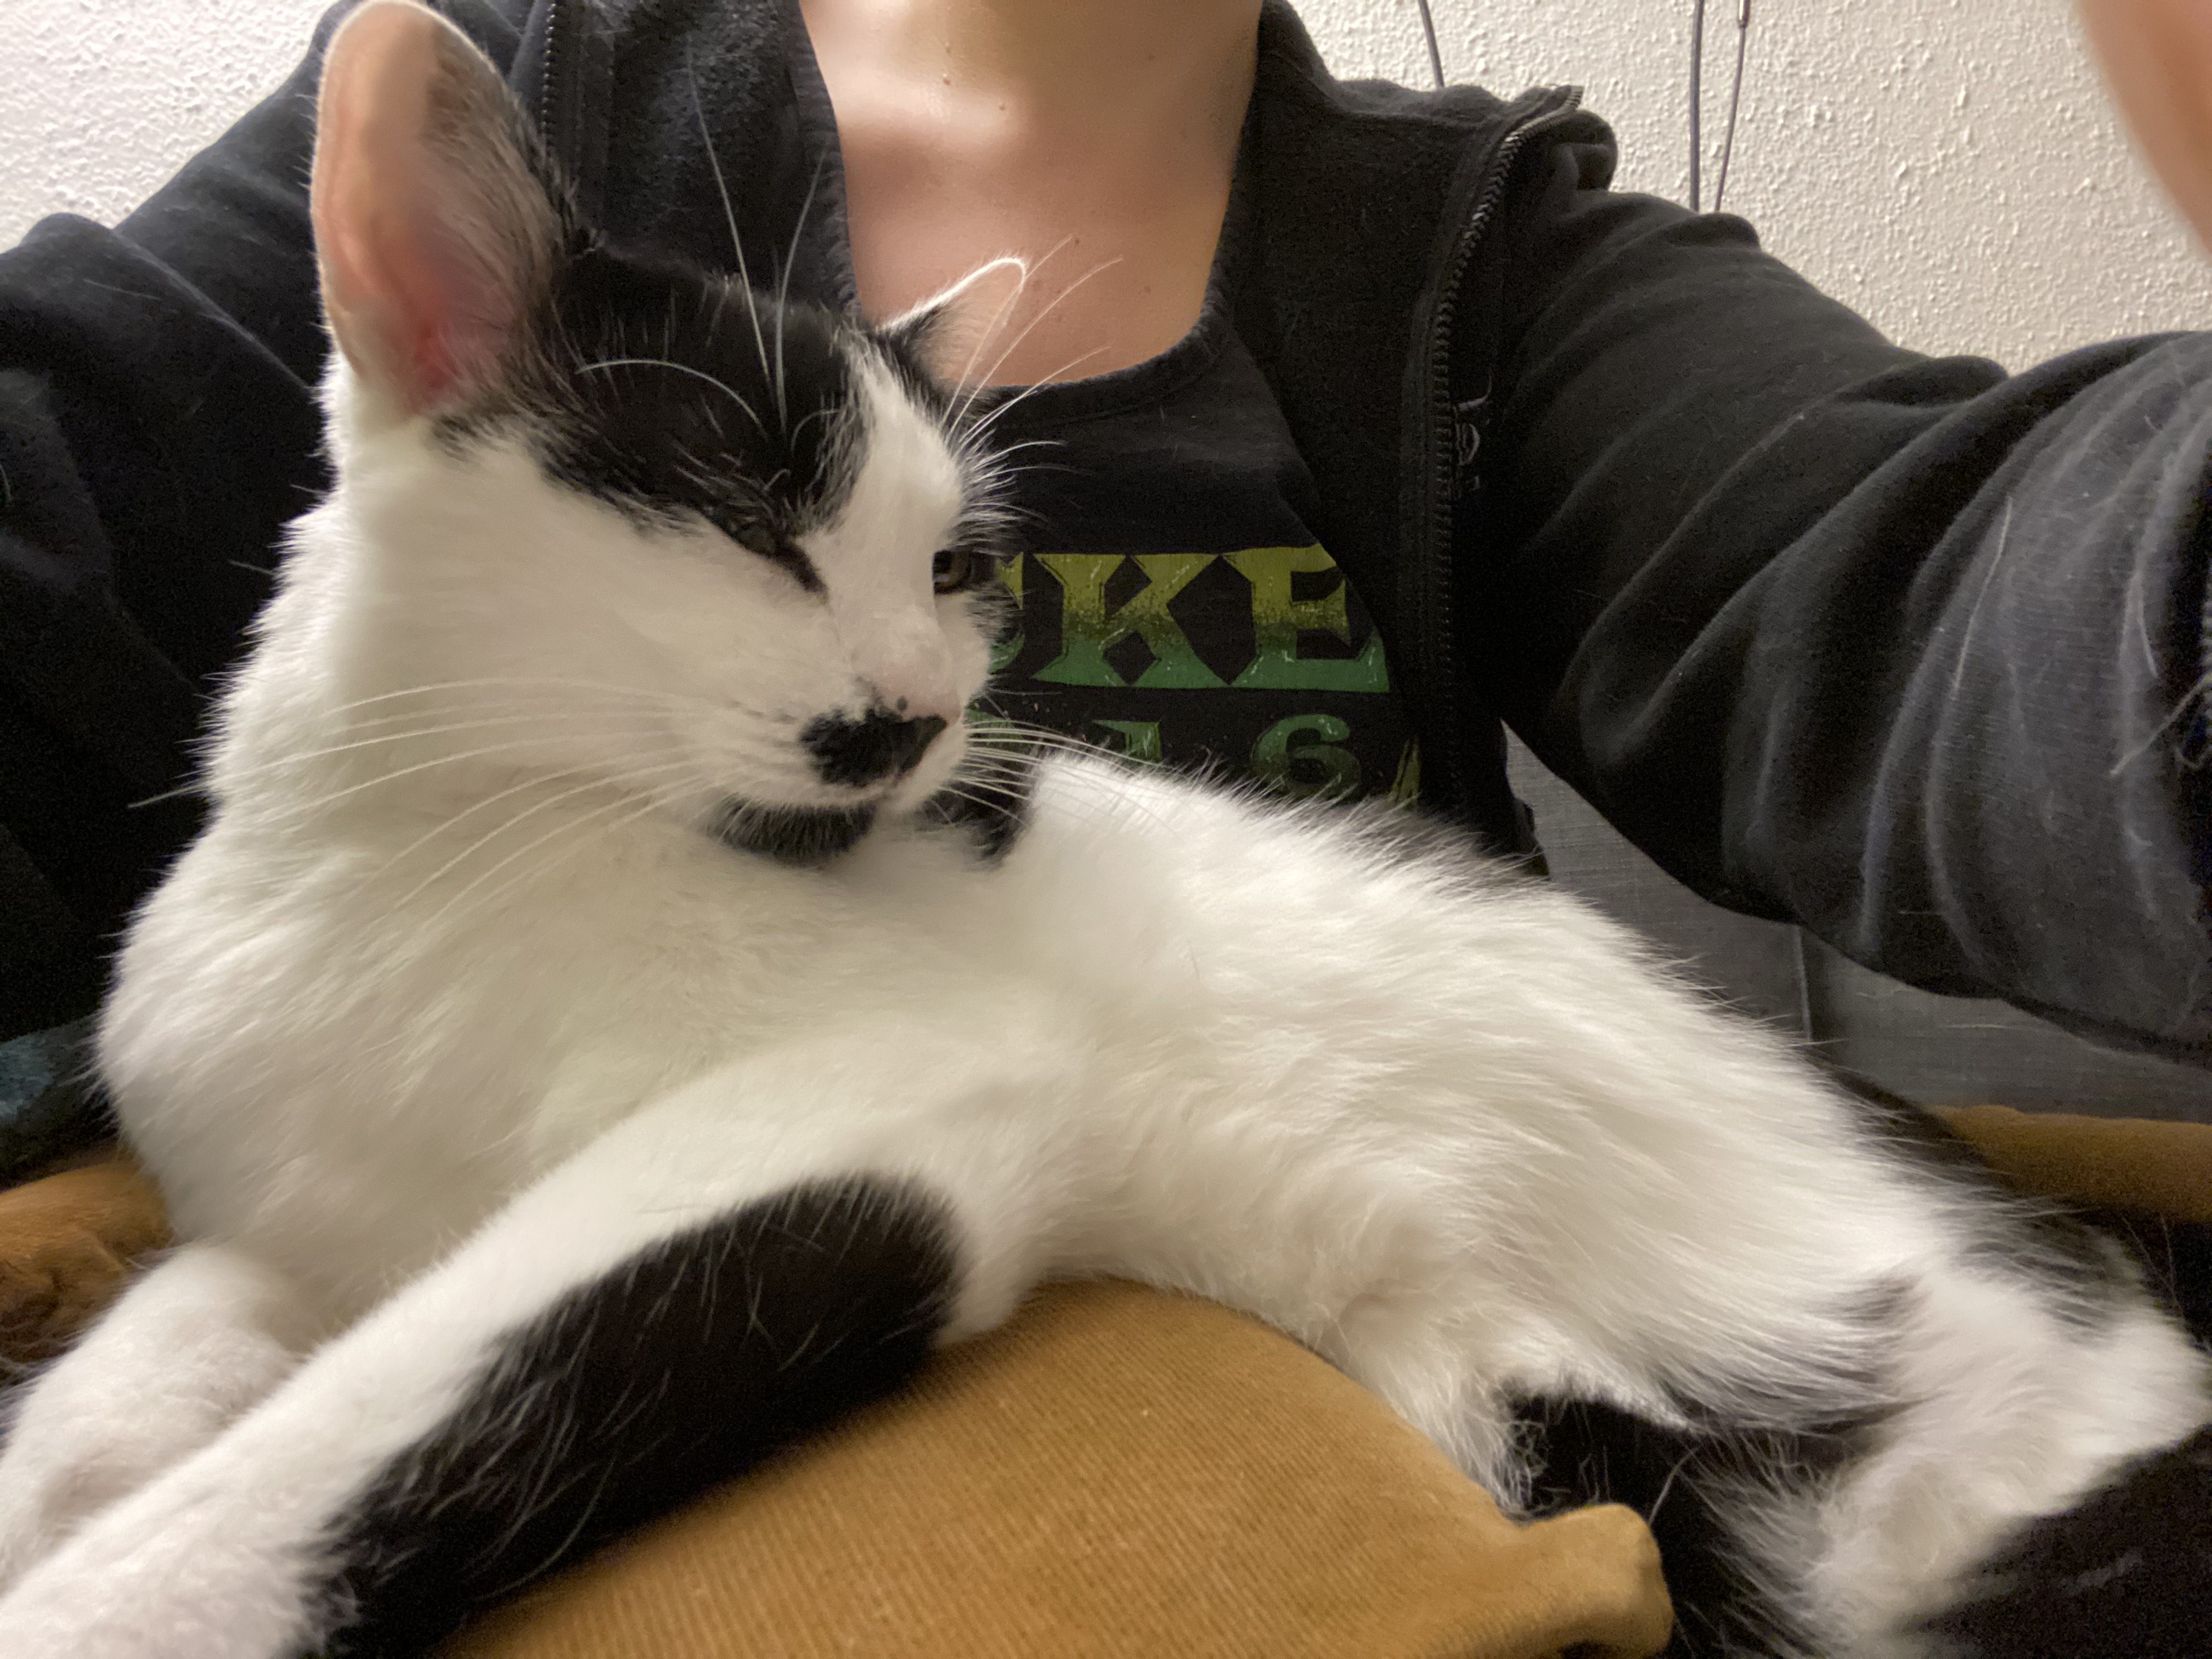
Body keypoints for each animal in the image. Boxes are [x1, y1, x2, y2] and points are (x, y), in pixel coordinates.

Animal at [0, 4, 2204, 1656]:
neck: (395, 842)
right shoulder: (278, 1238)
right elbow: (136, 1386)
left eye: (953, 563)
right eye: (754, 505)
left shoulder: (878, 1101)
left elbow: (324, 1456)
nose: (913, 710)